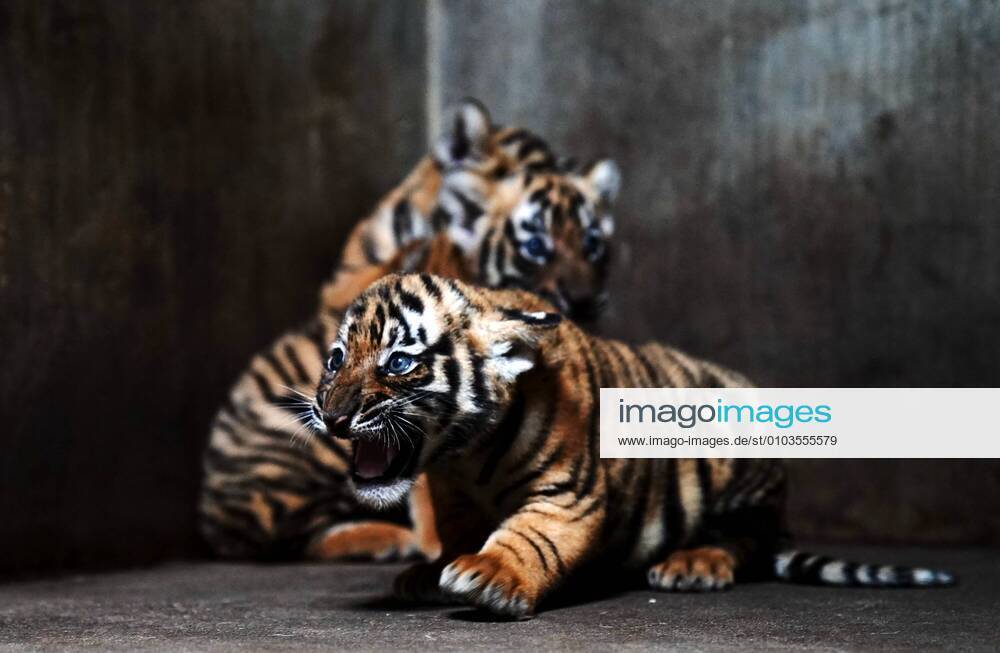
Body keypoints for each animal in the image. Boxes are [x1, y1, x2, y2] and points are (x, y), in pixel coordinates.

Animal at [198, 99, 622, 561]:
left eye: (593, 245)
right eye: (535, 246)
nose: (586, 302)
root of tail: (211, 515)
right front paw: (438, 542)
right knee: (296, 535)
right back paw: (387, 539)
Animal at [310, 273, 956, 619]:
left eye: (399, 362)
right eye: (335, 359)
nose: (334, 416)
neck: (465, 455)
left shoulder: (568, 495)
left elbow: (531, 535)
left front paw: (489, 574)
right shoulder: (456, 496)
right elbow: (460, 530)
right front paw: (431, 569)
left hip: (743, 461)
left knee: (743, 538)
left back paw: (694, 563)